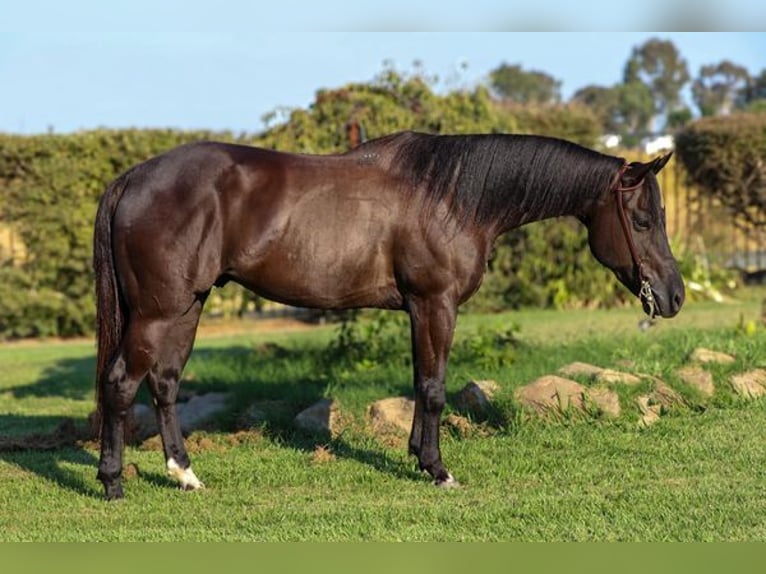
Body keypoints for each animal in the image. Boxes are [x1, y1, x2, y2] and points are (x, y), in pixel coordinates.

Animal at [93, 130, 684, 499]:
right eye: (642, 220)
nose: (674, 296)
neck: (452, 198)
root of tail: (133, 178)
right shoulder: (435, 303)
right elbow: (435, 388)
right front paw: (438, 470)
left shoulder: (418, 309)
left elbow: (421, 381)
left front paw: (417, 455)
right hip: (157, 313)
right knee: (121, 382)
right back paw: (113, 482)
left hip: (185, 308)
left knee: (165, 384)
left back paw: (185, 476)